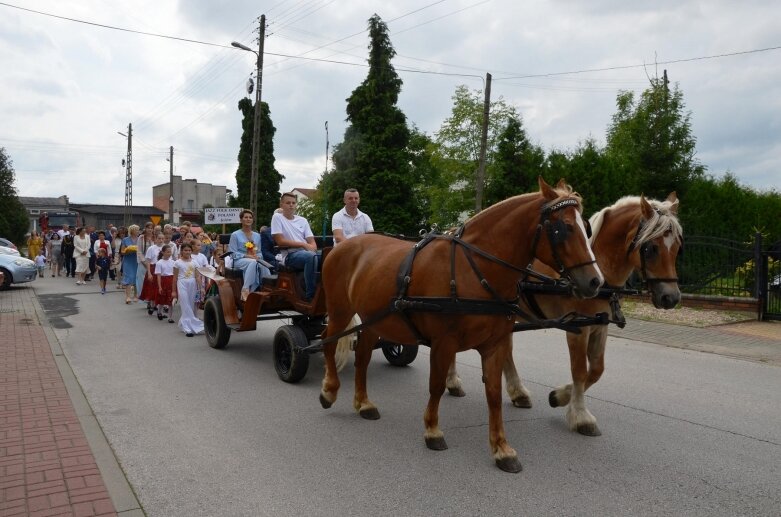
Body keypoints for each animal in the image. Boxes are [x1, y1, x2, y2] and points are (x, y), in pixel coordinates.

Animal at [316, 178, 604, 472]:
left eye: (586, 227)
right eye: (564, 228)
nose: (595, 281)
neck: (474, 271)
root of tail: (341, 247)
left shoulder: (494, 344)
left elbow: (493, 393)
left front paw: (501, 448)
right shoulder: (444, 342)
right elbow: (436, 385)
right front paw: (432, 430)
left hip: (376, 319)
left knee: (362, 357)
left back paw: (363, 403)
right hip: (340, 311)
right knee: (327, 342)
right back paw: (329, 390)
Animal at [444, 192, 684, 436]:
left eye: (677, 247)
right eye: (651, 248)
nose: (671, 297)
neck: (600, 270)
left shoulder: (600, 326)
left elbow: (596, 370)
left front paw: (559, 396)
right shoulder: (578, 327)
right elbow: (579, 371)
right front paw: (580, 415)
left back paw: (517, 392)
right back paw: (453, 381)